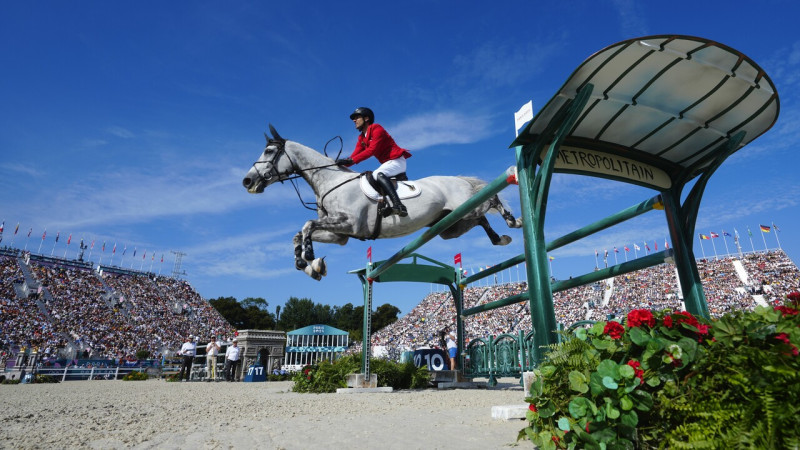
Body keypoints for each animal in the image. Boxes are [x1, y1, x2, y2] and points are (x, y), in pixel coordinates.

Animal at [241, 126, 520, 280]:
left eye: (269, 152)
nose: (247, 181)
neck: (331, 180)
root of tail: (458, 180)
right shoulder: (340, 235)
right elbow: (298, 234)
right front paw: (309, 265)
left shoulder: (348, 223)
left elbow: (308, 224)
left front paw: (309, 257)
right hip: (452, 226)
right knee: (481, 220)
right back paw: (500, 238)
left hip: (468, 204)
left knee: (491, 200)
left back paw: (512, 220)